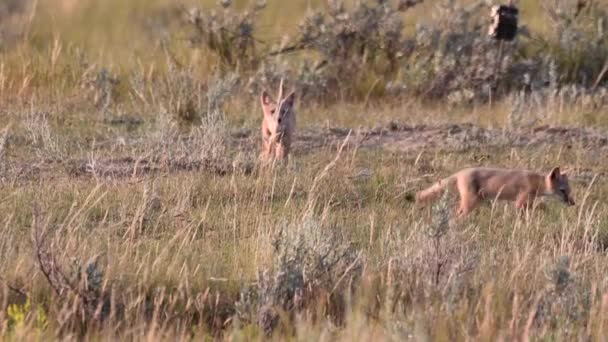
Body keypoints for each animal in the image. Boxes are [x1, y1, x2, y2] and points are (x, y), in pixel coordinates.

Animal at [416, 167, 576, 218]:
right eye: (562, 191)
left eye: (569, 191)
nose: (573, 203)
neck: (535, 181)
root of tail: (461, 172)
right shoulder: (521, 202)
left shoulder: (527, 202)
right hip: (470, 204)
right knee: (457, 214)